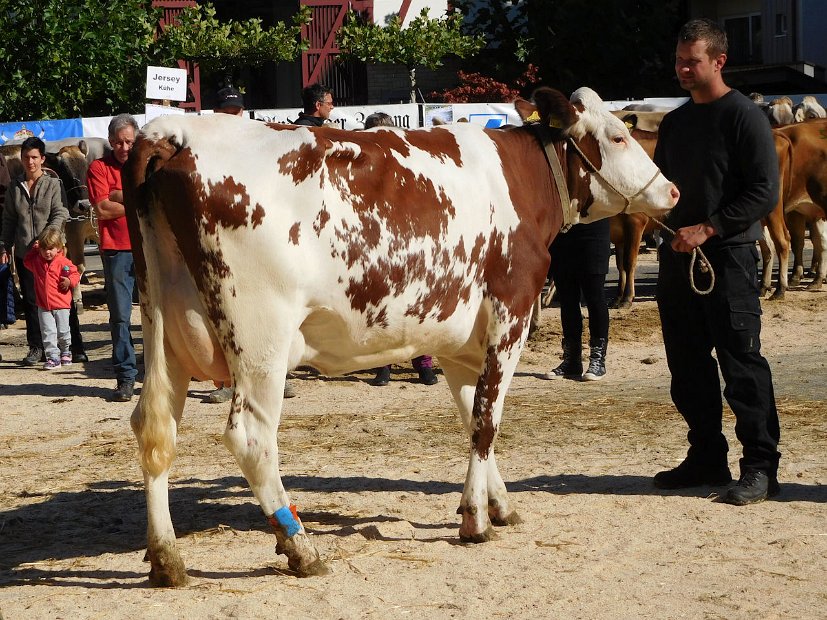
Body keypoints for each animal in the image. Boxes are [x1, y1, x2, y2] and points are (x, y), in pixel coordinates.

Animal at [123, 86, 680, 588]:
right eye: (617, 135)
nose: (671, 190)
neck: (518, 180)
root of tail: (175, 132)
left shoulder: (460, 339)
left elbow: (473, 414)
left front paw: (497, 503)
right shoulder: (511, 315)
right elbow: (488, 421)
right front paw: (476, 520)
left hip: (163, 328)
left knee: (155, 428)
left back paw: (167, 558)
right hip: (262, 339)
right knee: (251, 437)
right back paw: (300, 546)